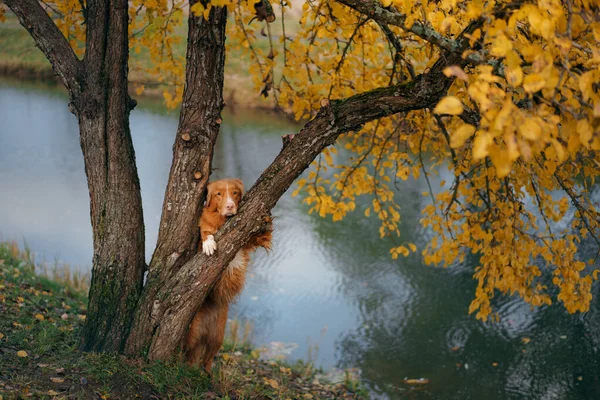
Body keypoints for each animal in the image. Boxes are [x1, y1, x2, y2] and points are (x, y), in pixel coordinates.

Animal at [183, 178, 272, 372]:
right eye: (219, 194)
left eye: (235, 193)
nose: (230, 206)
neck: (223, 220)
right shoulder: (203, 229)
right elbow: (206, 232)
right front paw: (209, 244)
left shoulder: (248, 242)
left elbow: (262, 236)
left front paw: (267, 222)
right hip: (193, 333)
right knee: (190, 356)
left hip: (218, 335)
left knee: (208, 358)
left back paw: (207, 374)